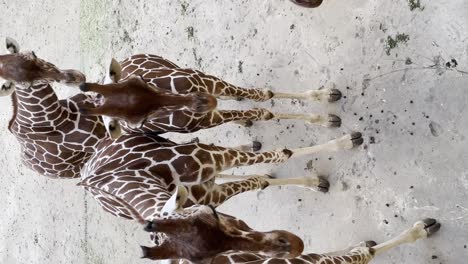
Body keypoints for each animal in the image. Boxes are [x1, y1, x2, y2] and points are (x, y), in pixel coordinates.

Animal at [77, 129, 362, 260]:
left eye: (213, 215)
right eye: (205, 259)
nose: (292, 246)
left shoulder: (212, 162)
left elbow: (282, 154)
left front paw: (345, 142)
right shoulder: (214, 194)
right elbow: (259, 179)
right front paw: (316, 181)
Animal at [78, 54, 342, 139]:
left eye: (140, 80)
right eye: (138, 122)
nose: (204, 101)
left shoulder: (212, 83)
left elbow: (262, 95)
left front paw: (326, 97)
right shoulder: (207, 120)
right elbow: (264, 112)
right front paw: (326, 120)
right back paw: (243, 120)